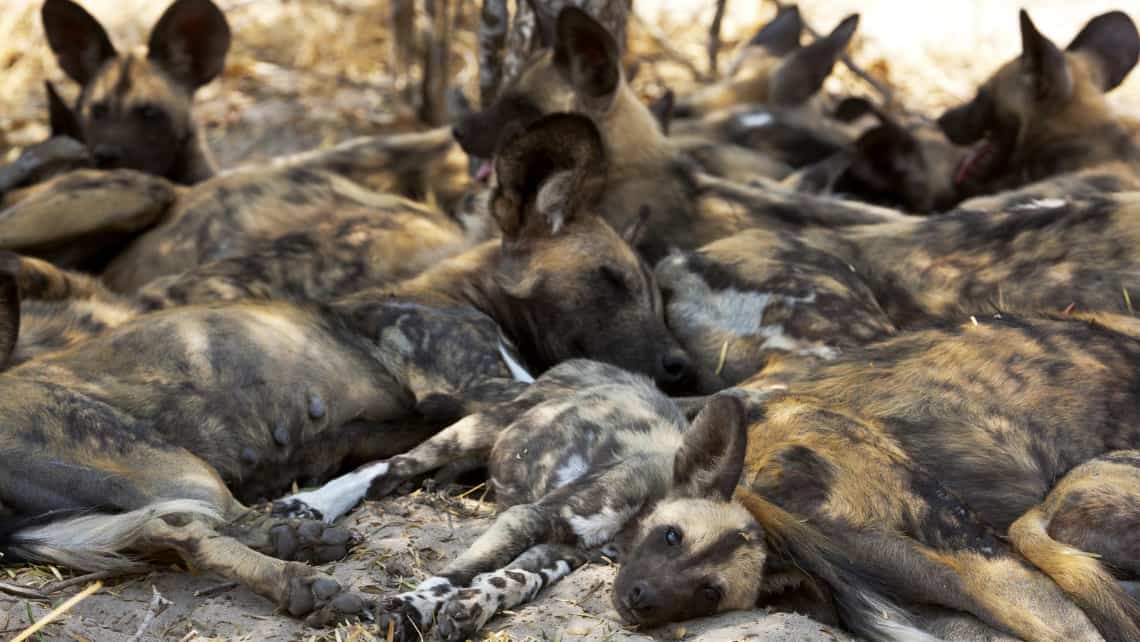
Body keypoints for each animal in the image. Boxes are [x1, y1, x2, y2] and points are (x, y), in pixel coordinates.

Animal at [0, 112, 693, 624]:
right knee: (204, 518)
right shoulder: (488, 386)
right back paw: (304, 567)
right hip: (172, 466)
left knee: (173, 530)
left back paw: (299, 561)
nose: (679, 364)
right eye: (611, 279)